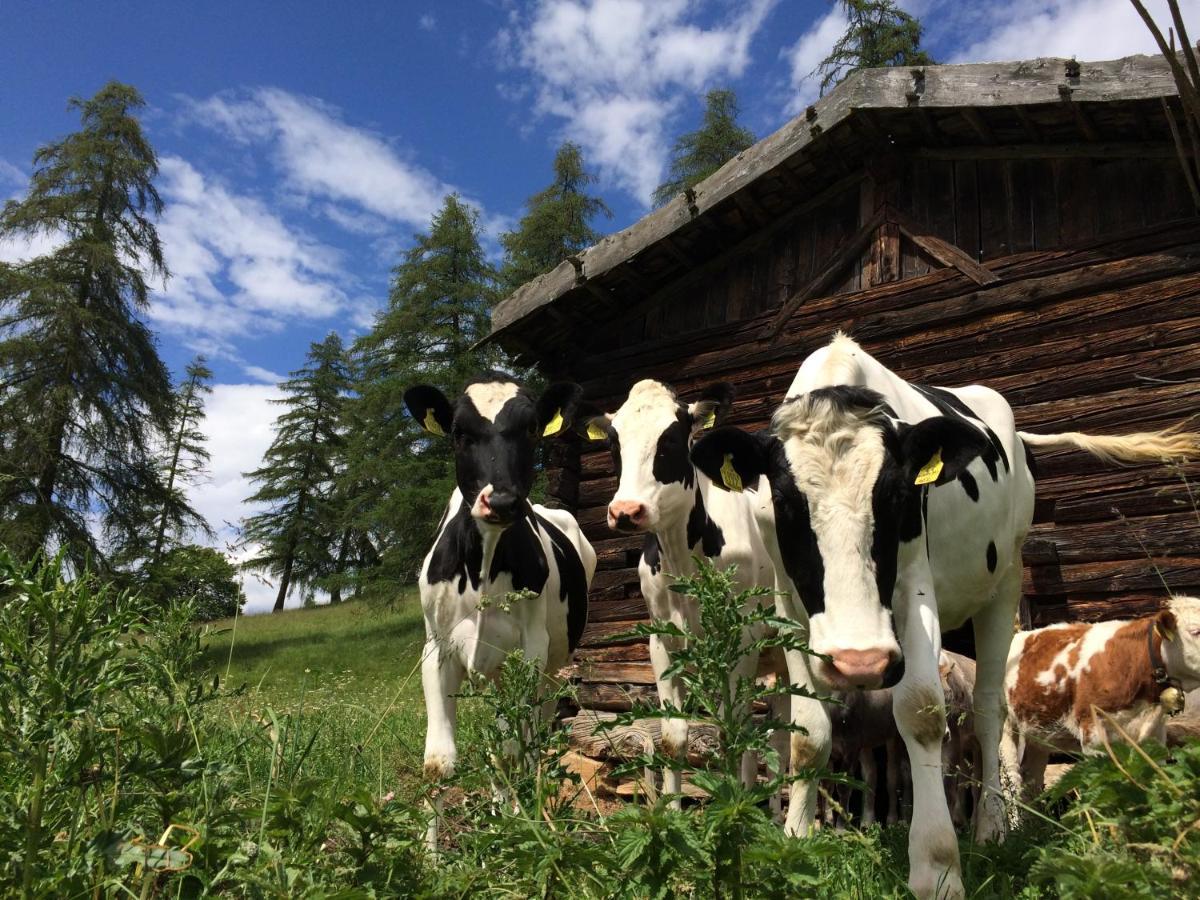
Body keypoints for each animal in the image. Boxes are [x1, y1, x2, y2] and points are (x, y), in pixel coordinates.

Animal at [405, 369, 597, 849]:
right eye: (458, 432)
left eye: (531, 429)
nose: (504, 501)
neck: (483, 567)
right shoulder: (436, 650)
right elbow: (439, 763)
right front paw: (430, 855)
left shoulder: (528, 654)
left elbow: (514, 752)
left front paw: (511, 834)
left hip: (550, 668)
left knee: (530, 739)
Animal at [576, 381, 782, 801]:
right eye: (613, 443)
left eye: (670, 439)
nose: (625, 511)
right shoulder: (662, 640)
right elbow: (674, 738)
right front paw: (672, 810)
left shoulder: (740, 636)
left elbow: (730, 732)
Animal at [1003, 595, 1200, 801]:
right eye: (1195, 631)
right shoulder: (1094, 737)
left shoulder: (1154, 735)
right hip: (1005, 727)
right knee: (1011, 781)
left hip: (1036, 732)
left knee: (1030, 780)